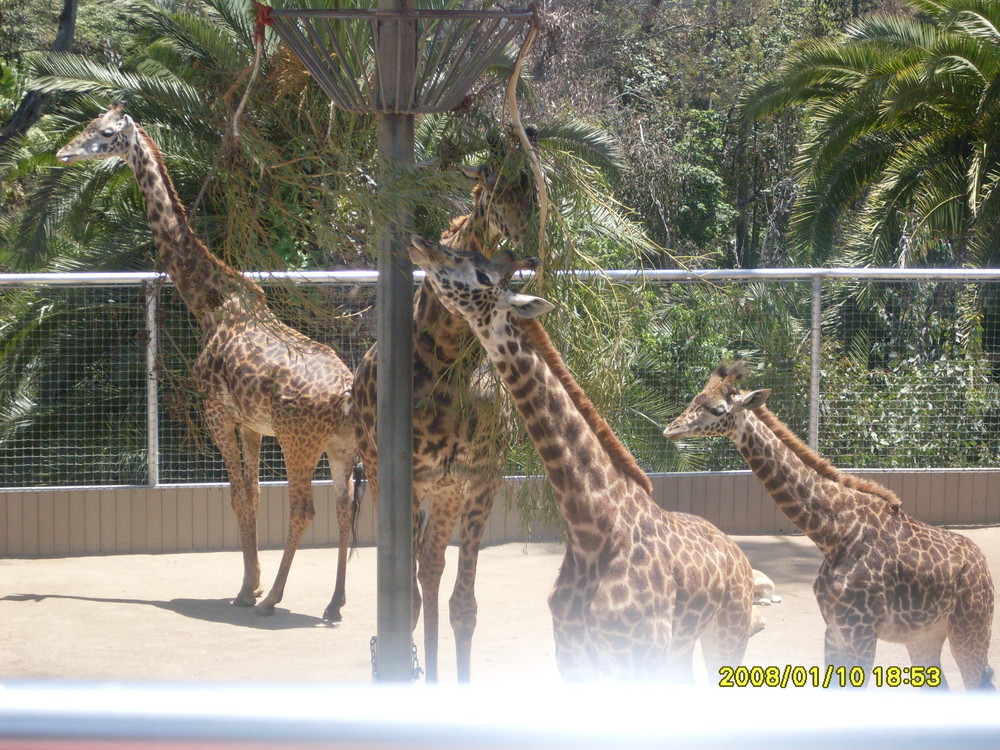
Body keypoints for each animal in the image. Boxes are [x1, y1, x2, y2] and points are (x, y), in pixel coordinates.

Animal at [56, 106, 358, 624]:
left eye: (107, 133)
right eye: (89, 125)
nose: (63, 153)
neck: (208, 302)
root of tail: (344, 392)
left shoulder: (216, 412)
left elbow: (237, 495)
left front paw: (249, 590)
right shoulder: (253, 424)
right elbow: (252, 493)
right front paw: (253, 582)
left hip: (300, 441)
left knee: (304, 509)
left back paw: (277, 601)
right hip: (340, 446)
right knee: (344, 508)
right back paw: (334, 603)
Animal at [354, 150, 536, 684]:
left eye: (533, 187)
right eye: (491, 186)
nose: (527, 245)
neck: (448, 361)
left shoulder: (480, 477)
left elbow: (464, 605)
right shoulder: (410, 477)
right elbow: (411, 594)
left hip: (447, 490)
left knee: (431, 569)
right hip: (380, 472)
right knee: (418, 579)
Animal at [406, 238, 756, 684]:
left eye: (483, 275)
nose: (422, 245)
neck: (593, 529)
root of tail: (736, 551)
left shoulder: (636, 658)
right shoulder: (572, 657)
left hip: (725, 637)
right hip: (679, 648)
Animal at [660, 362, 996, 692]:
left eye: (717, 409)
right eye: (696, 398)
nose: (670, 429)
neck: (833, 534)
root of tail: (982, 564)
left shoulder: (862, 631)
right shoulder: (835, 629)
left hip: (970, 626)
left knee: (978, 681)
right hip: (925, 635)